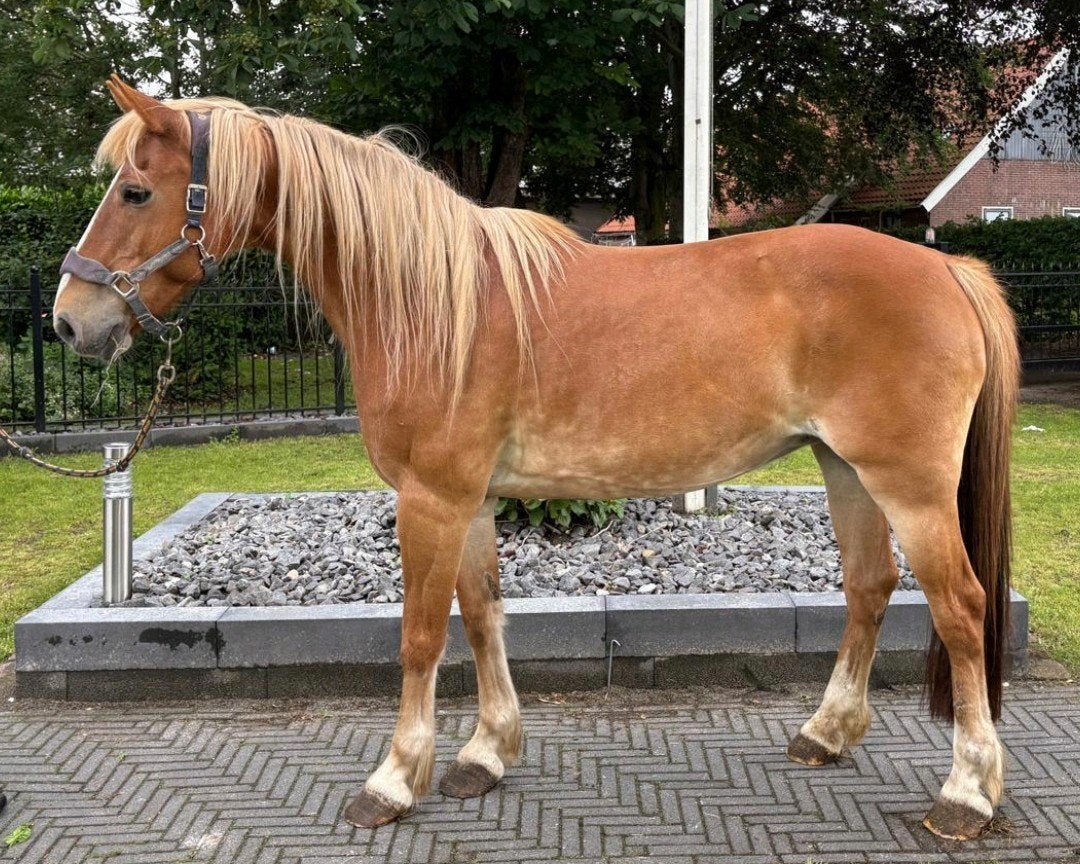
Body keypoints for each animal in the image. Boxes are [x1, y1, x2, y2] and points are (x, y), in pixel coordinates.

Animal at [53, 77, 1019, 841]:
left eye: (135, 191)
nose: (69, 321)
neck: (426, 297)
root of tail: (949, 271)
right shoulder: (470, 499)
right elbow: (482, 615)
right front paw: (484, 755)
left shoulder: (431, 498)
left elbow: (419, 635)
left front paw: (393, 780)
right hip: (844, 468)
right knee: (869, 588)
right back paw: (827, 733)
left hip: (910, 486)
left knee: (961, 609)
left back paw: (967, 793)